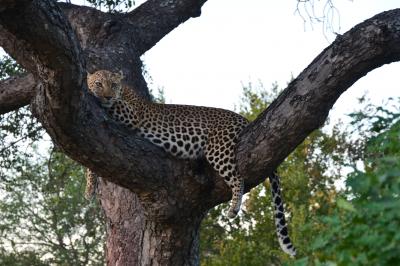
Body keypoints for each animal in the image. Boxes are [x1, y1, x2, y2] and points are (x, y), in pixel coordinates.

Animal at [85, 69, 296, 256]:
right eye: (99, 83)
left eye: (113, 85)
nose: (107, 96)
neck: (124, 91)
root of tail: (242, 117)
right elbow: (91, 163)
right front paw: (89, 189)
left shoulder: (131, 114)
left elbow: (117, 105)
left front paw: (99, 98)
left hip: (217, 148)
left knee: (237, 178)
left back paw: (234, 207)